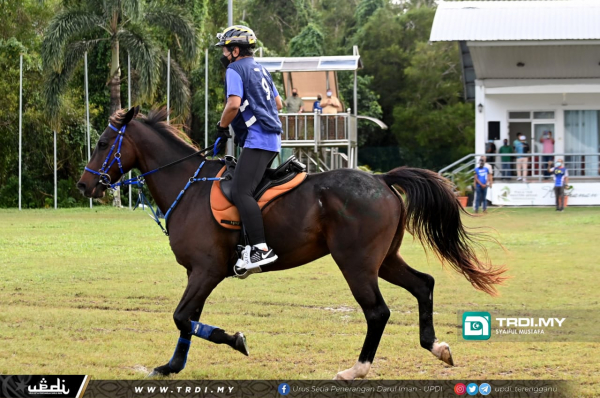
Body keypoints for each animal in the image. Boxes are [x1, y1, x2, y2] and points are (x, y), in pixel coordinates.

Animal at [75, 106, 506, 380]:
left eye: (102, 143)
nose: (83, 185)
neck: (188, 186)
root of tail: (381, 179)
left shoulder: (206, 271)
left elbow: (183, 317)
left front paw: (235, 340)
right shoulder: (198, 274)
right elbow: (186, 320)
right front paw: (171, 367)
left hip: (355, 263)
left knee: (377, 311)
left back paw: (358, 368)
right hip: (384, 260)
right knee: (423, 285)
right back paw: (435, 346)